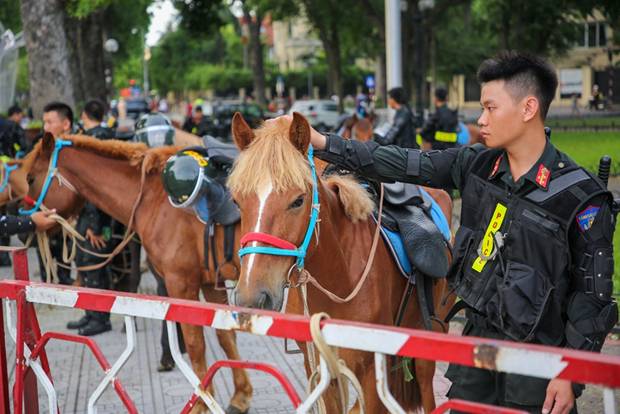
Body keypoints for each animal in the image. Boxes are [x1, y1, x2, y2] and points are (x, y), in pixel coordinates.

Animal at [20, 134, 252, 414]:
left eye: (30, 178)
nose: (26, 229)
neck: (155, 199)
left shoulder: (180, 283)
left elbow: (195, 344)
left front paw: (200, 404)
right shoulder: (209, 281)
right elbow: (226, 336)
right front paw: (240, 396)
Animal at [230, 111, 452, 412]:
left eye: (298, 201)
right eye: (237, 201)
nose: (253, 297)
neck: (339, 274)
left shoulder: (371, 374)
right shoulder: (322, 369)